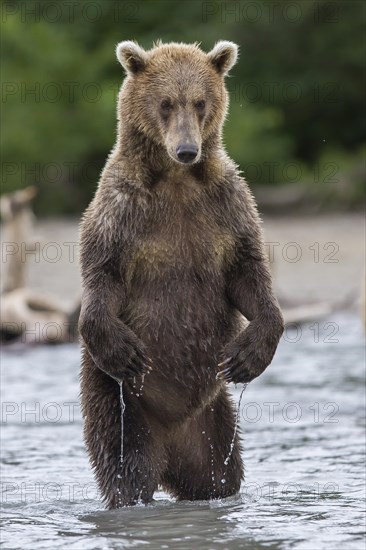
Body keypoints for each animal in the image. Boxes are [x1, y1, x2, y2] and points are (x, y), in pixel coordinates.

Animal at [78, 41, 284, 512]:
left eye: (200, 102)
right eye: (166, 103)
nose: (187, 149)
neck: (176, 180)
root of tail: (171, 440)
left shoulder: (226, 206)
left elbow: (248, 273)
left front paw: (249, 354)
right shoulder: (121, 211)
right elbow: (103, 273)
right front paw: (123, 350)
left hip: (212, 422)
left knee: (219, 475)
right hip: (120, 404)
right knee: (127, 468)